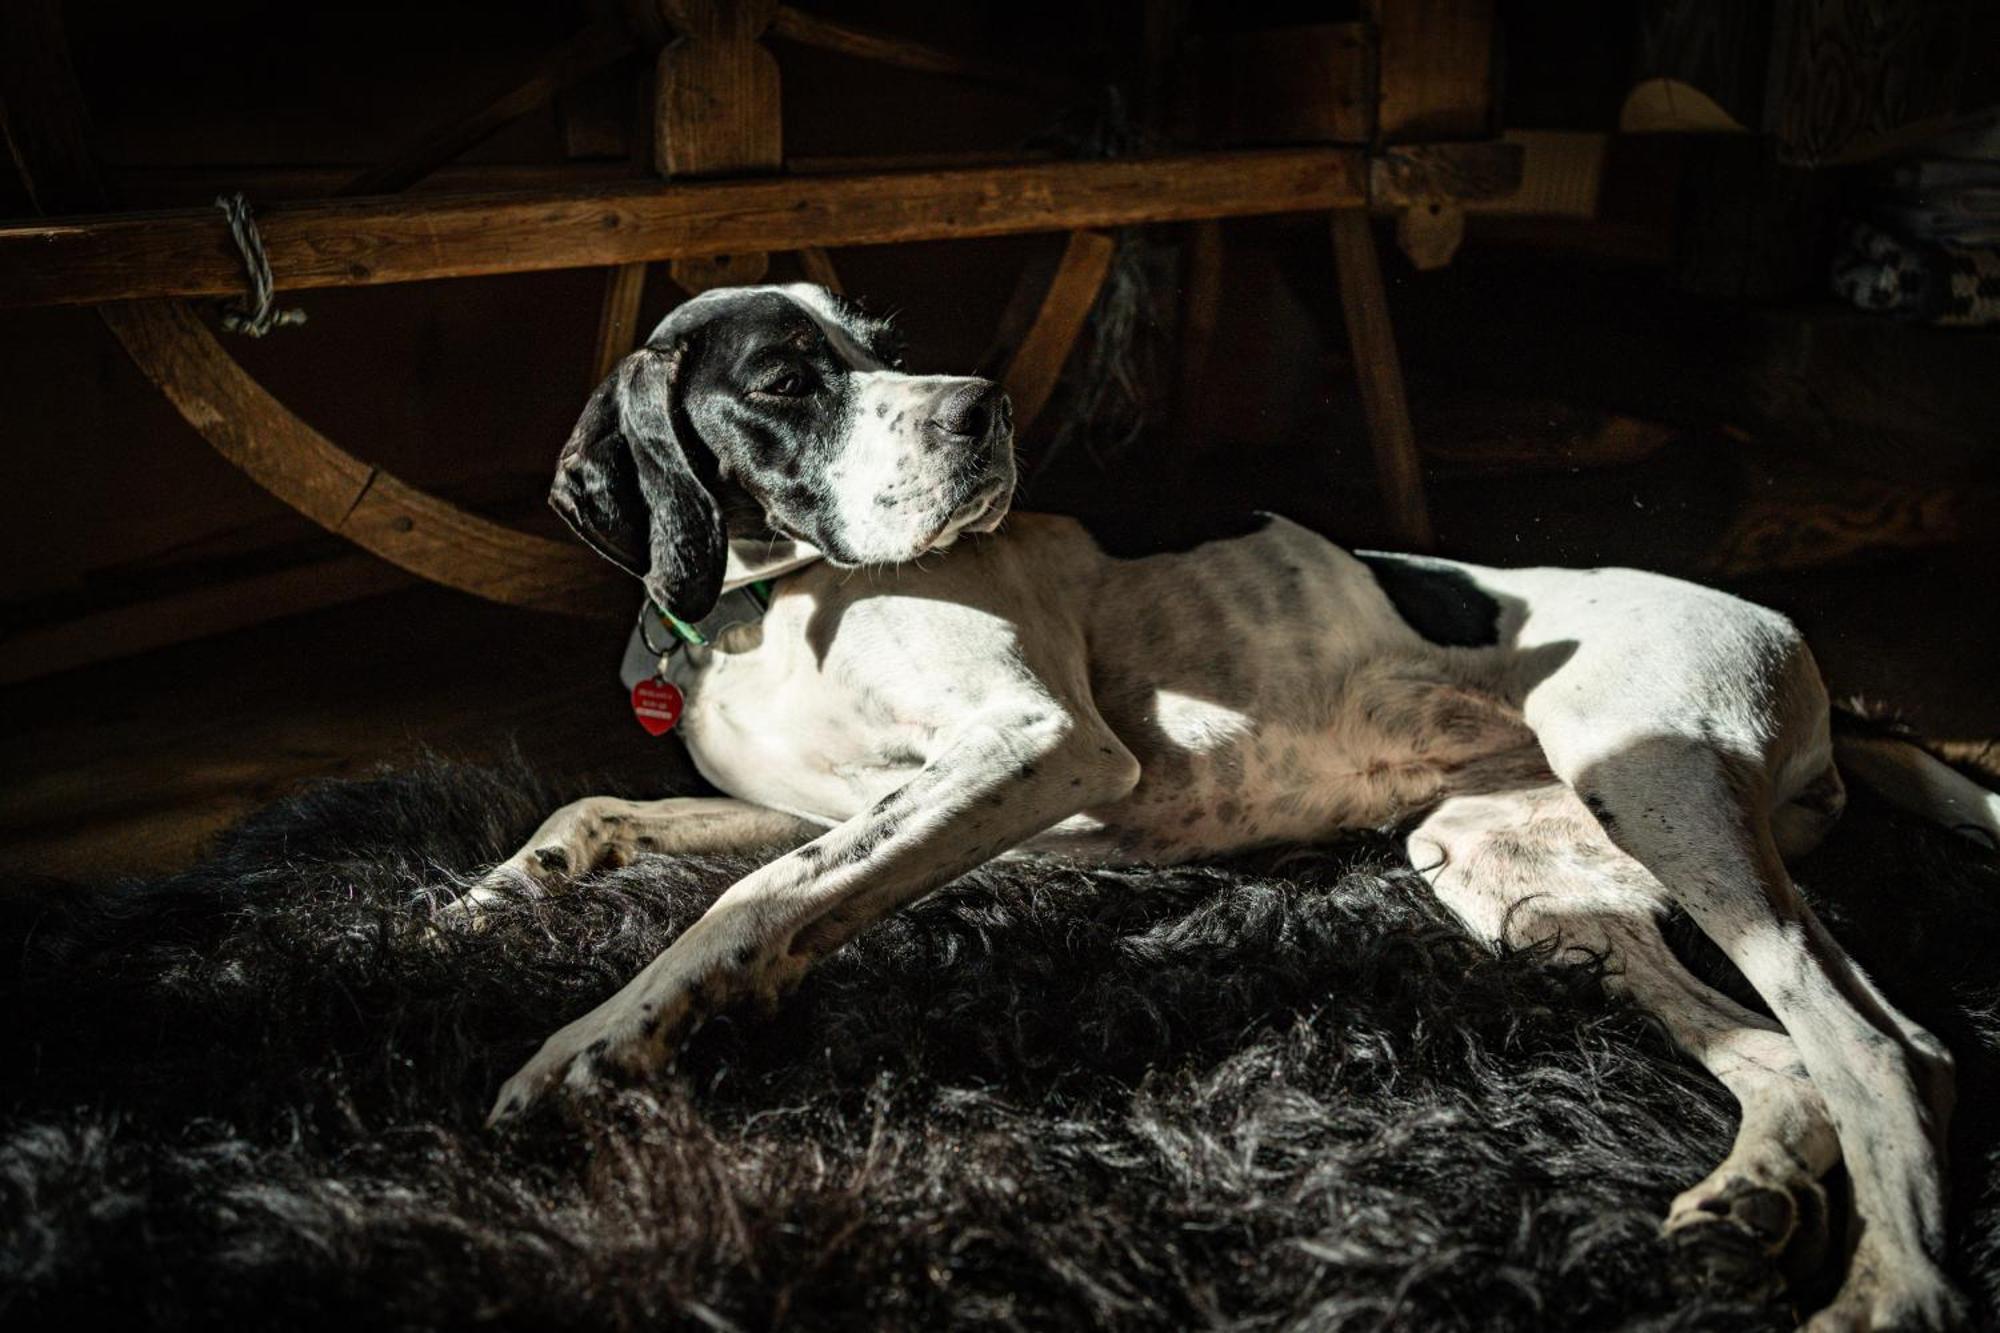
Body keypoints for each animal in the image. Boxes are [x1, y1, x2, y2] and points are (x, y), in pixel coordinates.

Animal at [472, 280, 2000, 1320]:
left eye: (882, 341)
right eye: (789, 377)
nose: (985, 409)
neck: (765, 606)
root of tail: (1812, 657)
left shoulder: (1036, 746)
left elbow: (754, 893)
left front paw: (598, 1038)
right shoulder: (843, 800)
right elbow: (616, 813)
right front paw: (492, 900)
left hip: (1658, 783)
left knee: (1885, 1045)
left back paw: (1890, 1288)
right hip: (1513, 870)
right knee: (1783, 1062)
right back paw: (1745, 1204)